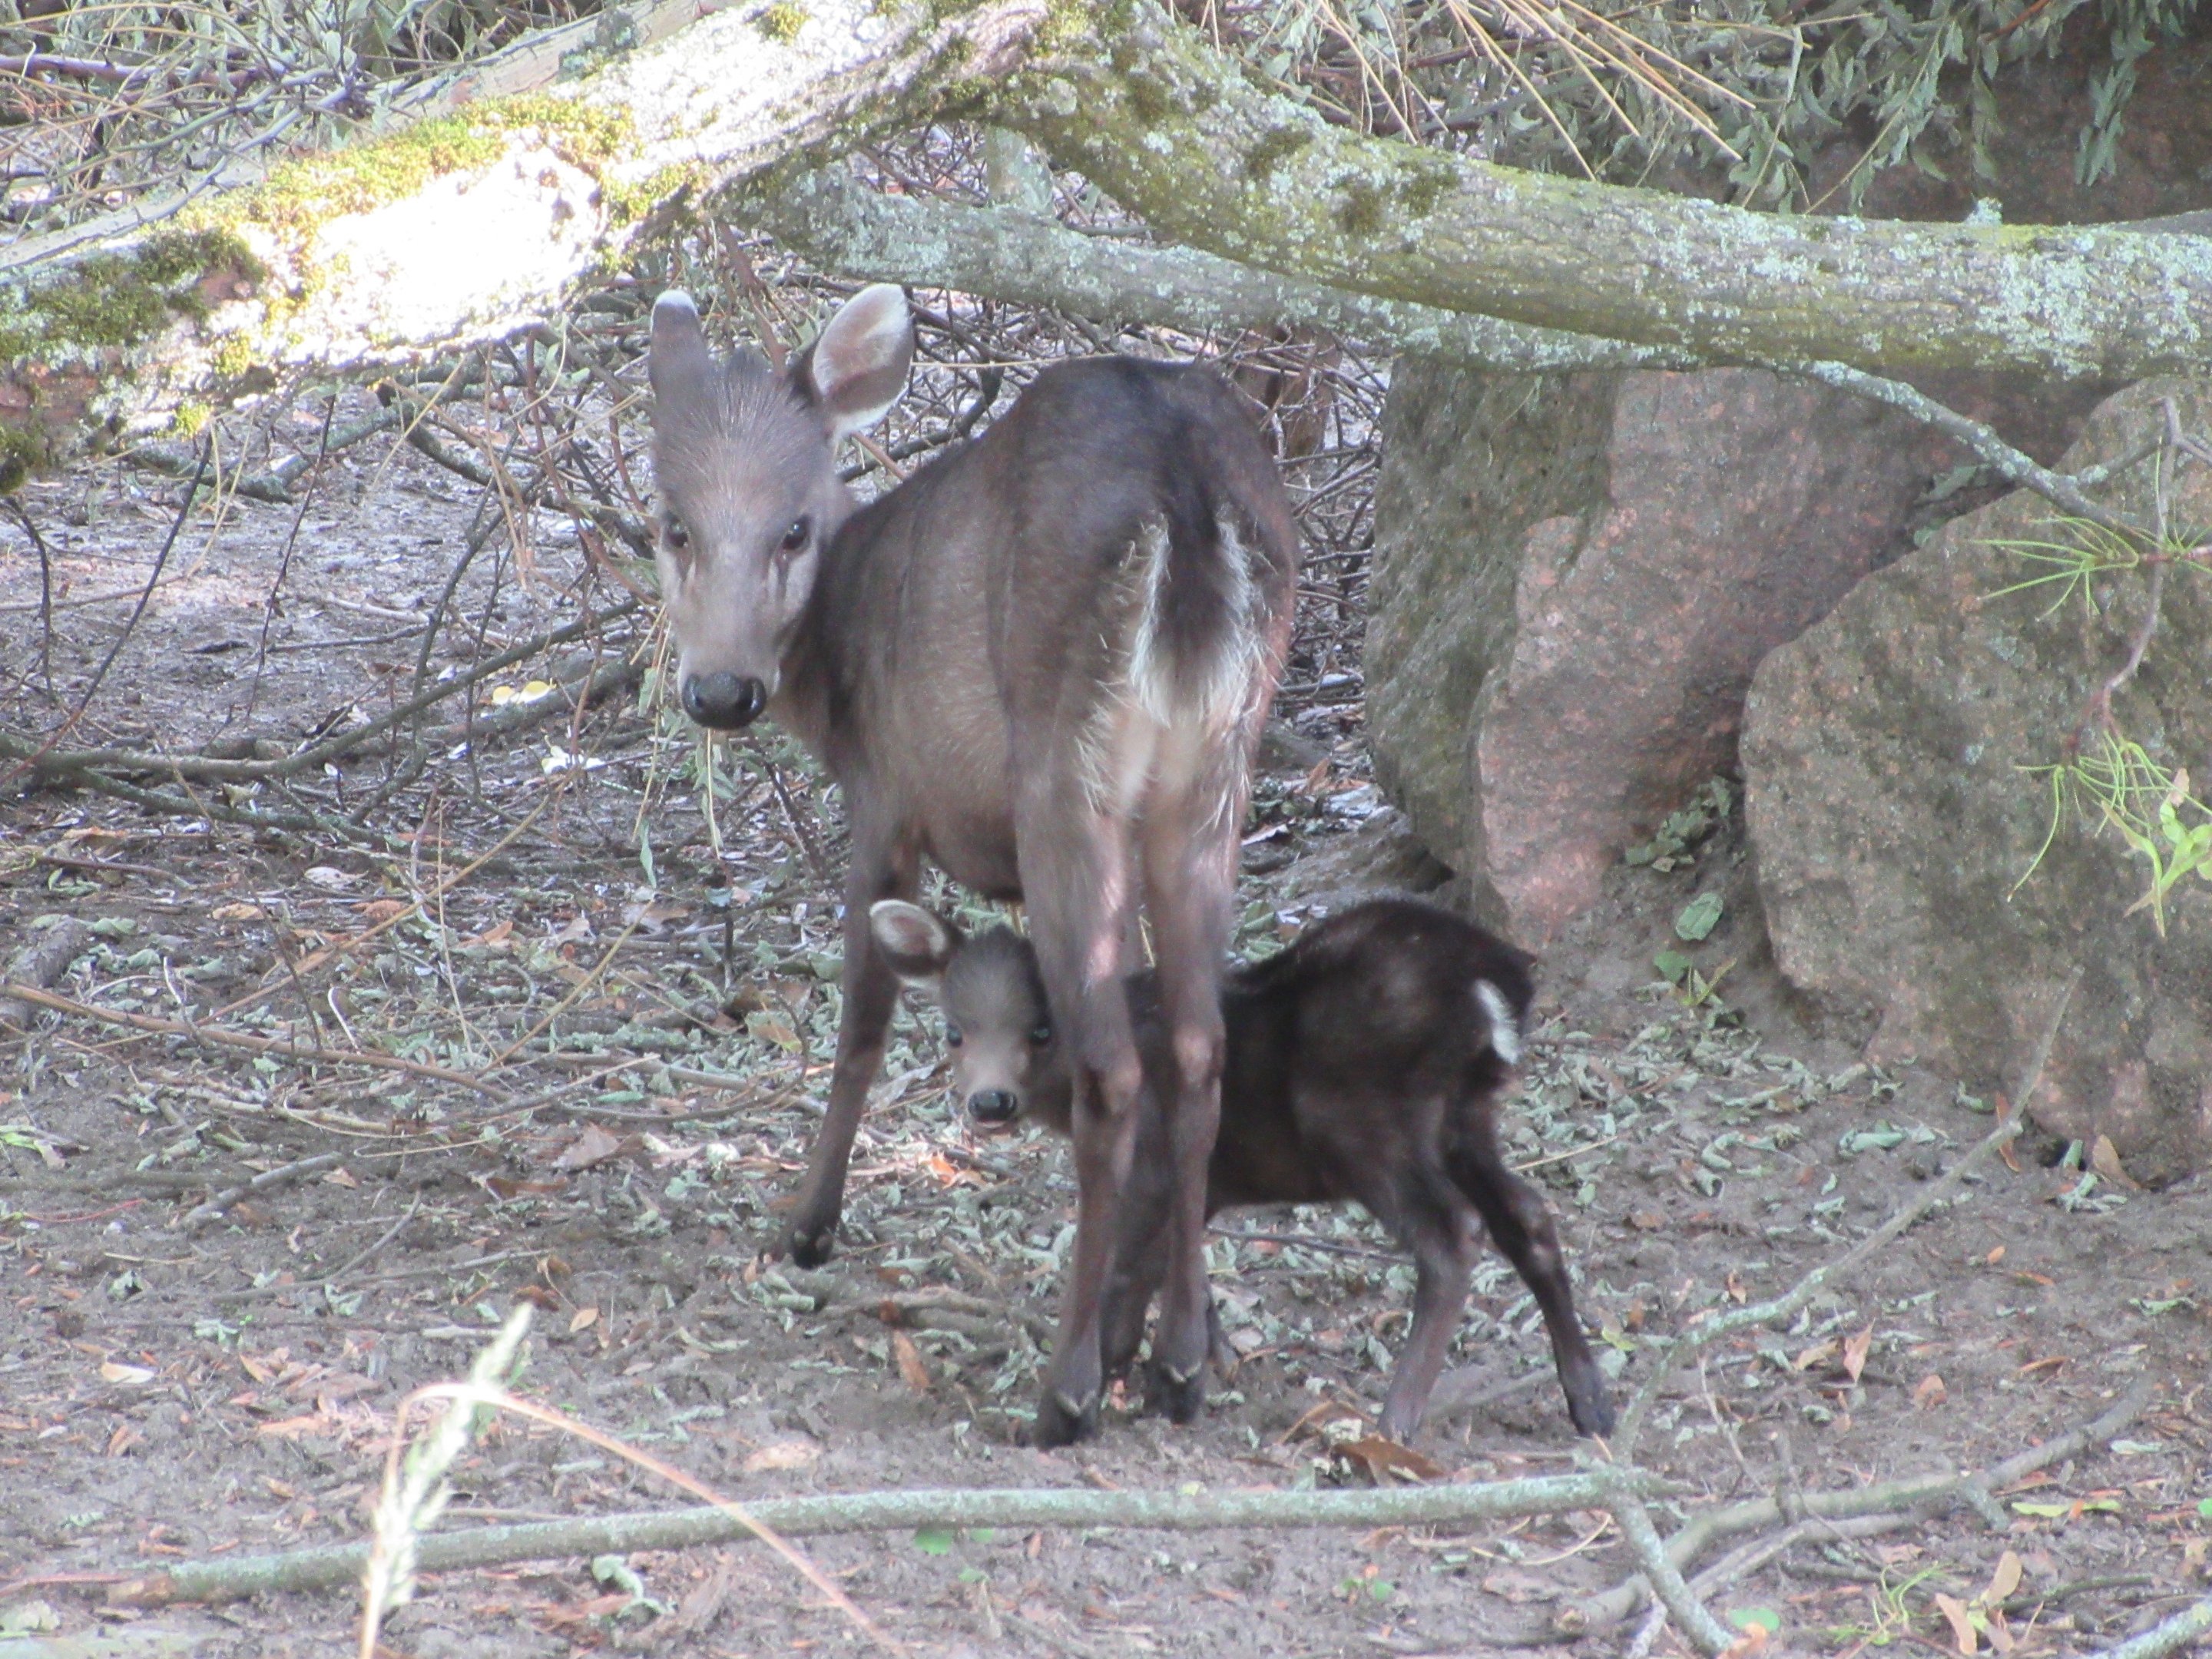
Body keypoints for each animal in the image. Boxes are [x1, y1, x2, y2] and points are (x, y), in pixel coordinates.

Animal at [646, 284, 1297, 1445]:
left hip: (1066, 772)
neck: (831, 672)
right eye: (673, 523)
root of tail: (1189, 498)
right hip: (1210, 778)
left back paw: (1069, 1388)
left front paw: (806, 1224)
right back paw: (1180, 1361)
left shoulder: (886, 797)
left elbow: (862, 1023)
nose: (721, 691)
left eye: (792, 529)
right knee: (1196, 1047)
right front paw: (1195, 1327)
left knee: (1114, 1070)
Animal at [867, 893, 1616, 1443]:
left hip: (1362, 1120)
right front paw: (1200, 1366)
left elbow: (1125, 1272)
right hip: (1464, 1120)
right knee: (1528, 1216)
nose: (990, 1101)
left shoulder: (1151, 1161)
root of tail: (1492, 986)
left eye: (1042, 1030)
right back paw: (1590, 1403)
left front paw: (1100, 1392)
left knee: (1453, 1235)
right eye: (954, 1031)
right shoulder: (1199, 1188)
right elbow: (1181, 1266)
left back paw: (1392, 1423)